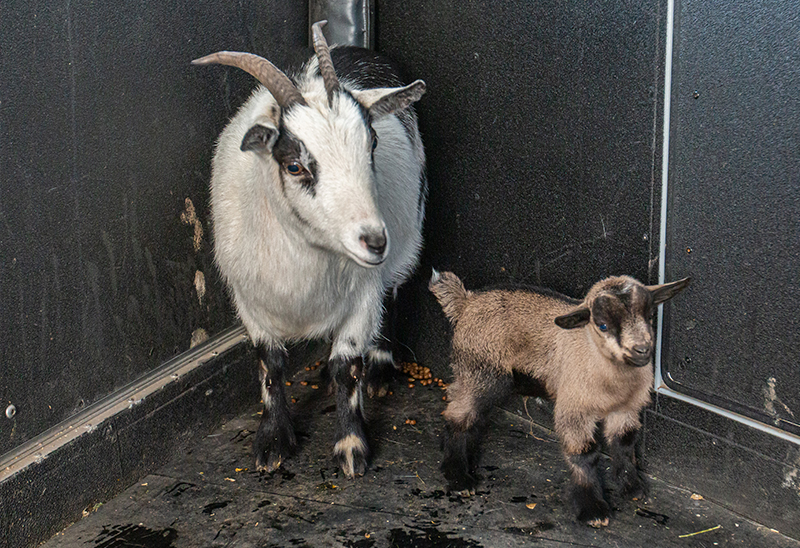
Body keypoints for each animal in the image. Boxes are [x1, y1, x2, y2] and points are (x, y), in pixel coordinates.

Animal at [192, 21, 427, 477]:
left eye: (372, 144)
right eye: (294, 165)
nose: (374, 240)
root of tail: (349, 46)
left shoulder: (363, 294)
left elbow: (346, 366)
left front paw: (351, 446)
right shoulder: (250, 300)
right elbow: (270, 364)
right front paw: (272, 441)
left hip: (408, 237)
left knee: (394, 290)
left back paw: (380, 368)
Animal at [429, 270, 690, 526]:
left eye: (649, 316)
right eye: (603, 325)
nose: (642, 350)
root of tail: (466, 302)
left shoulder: (625, 408)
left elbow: (624, 444)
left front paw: (632, 487)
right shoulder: (574, 407)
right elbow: (584, 453)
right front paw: (592, 509)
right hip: (481, 371)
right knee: (459, 414)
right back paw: (458, 476)